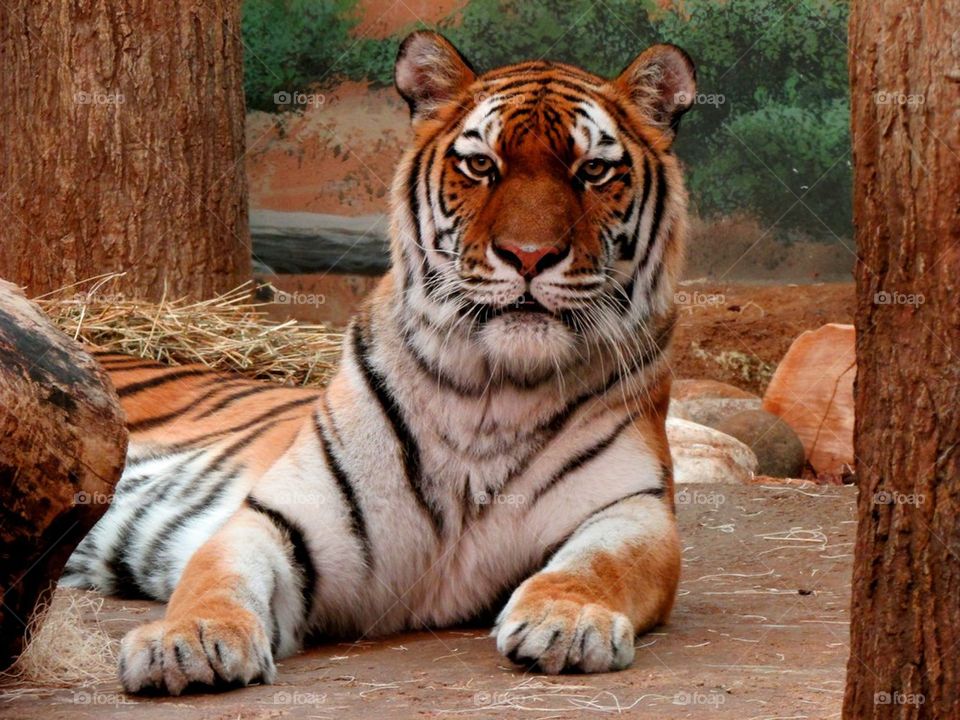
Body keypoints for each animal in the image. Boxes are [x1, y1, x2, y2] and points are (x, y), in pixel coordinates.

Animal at [62, 30, 697, 695]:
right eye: (481, 166)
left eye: (593, 170)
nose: (529, 255)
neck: (495, 393)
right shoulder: (281, 518)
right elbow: (217, 576)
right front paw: (188, 641)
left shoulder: (632, 510)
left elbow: (598, 566)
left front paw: (567, 621)